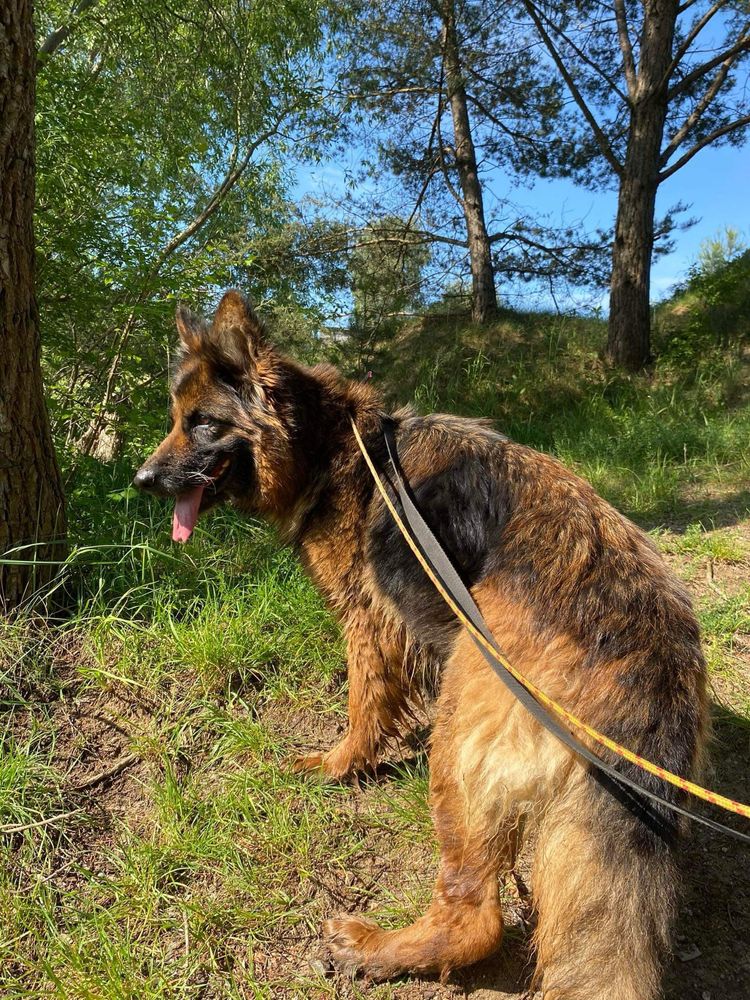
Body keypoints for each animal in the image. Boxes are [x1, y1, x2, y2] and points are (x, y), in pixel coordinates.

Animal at [137, 292, 712, 1000]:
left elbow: (364, 703)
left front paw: (341, 764)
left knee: (475, 919)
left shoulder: (365, 618)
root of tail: (651, 658)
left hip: (461, 730)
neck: (332, 447)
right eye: (175, 420)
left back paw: (376, 950)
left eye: (203, 424)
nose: (141, 479)